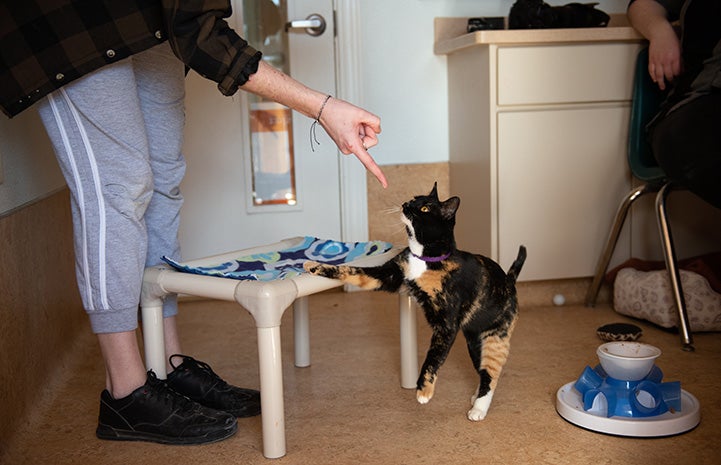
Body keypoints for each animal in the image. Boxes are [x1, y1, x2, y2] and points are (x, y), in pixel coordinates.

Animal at [302, 183, 524, 418]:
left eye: (425, 208)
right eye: (414, 198)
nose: (406, 204)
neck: (423, 258)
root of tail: (510, 281)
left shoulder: (446, 325)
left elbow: (433, 358)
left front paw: (424, 391)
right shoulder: (387, 275)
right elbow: (350, 271)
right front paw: (312, 265)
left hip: (495, 339)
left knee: (491, 374)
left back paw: (479, 409)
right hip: (474, 343)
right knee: (482, 372)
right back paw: (475, 398)